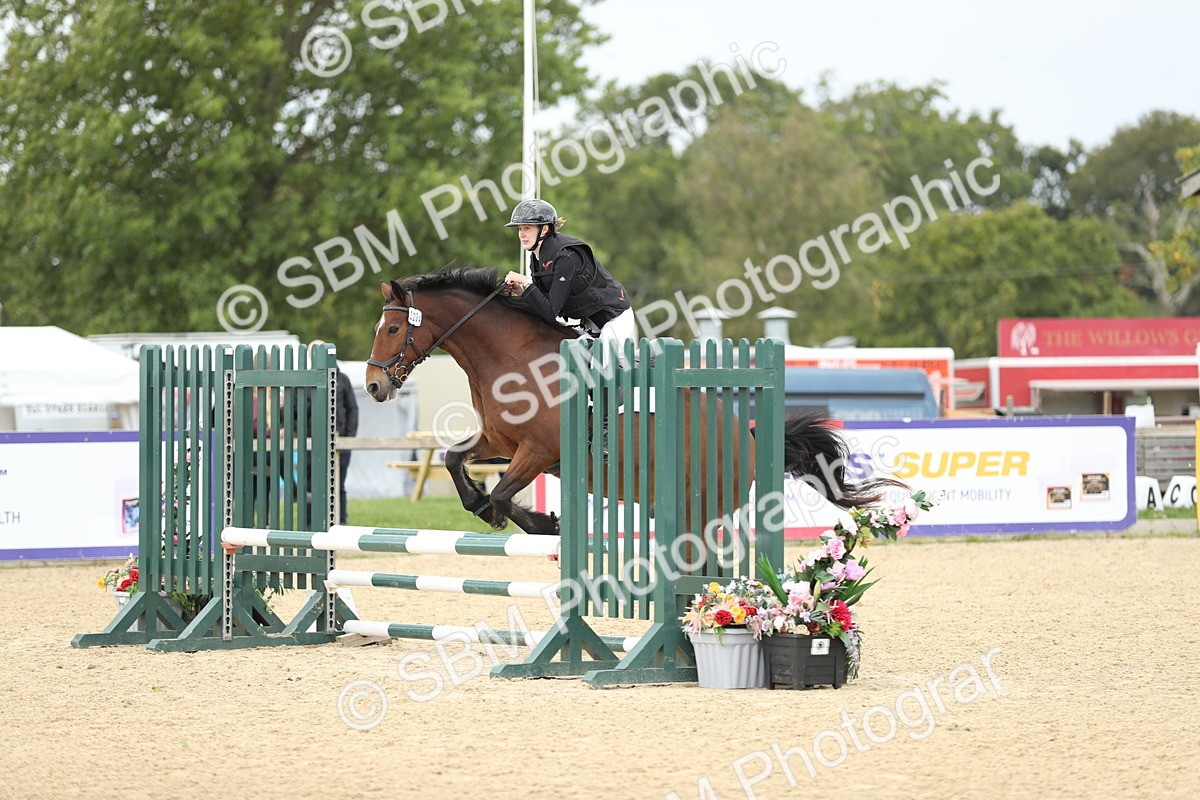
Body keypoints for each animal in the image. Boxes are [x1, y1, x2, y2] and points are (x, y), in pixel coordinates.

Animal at [364, 266, 899, 536]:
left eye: (391, 328)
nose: (373, 387)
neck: (509, 356)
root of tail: (745, 434)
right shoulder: (499, 441)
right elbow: (454, 460)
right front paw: (485, 505)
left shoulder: (538, 451)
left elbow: (500, 494)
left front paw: (534, 521)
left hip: (708, 501)